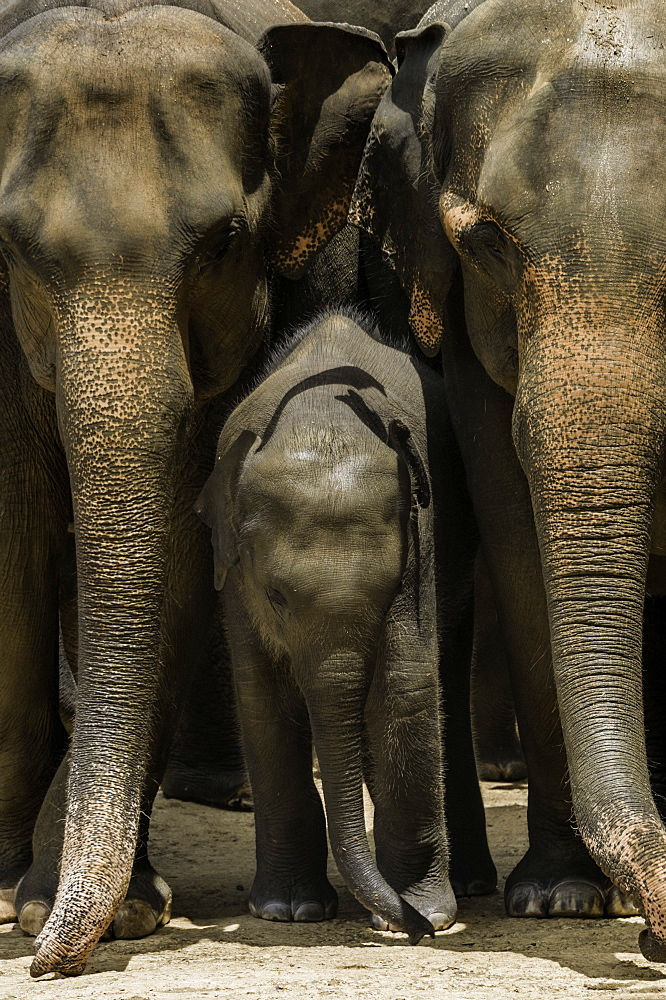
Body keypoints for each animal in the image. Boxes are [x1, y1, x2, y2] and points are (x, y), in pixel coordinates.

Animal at [0, 0, 390, 976]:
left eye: (222, 244)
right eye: (11, 249)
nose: (48, 963)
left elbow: (178, 557)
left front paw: (103, 912)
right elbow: (14, 539)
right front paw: (13, 895)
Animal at [196, 312, 456, 944]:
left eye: (389, 590)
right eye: (275, 596)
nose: (412, 929)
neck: (321, 418)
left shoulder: (422, 542)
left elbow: (406, 687)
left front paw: (430, 913)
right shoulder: (233, 575)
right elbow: (262, 698)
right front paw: (289, 911)